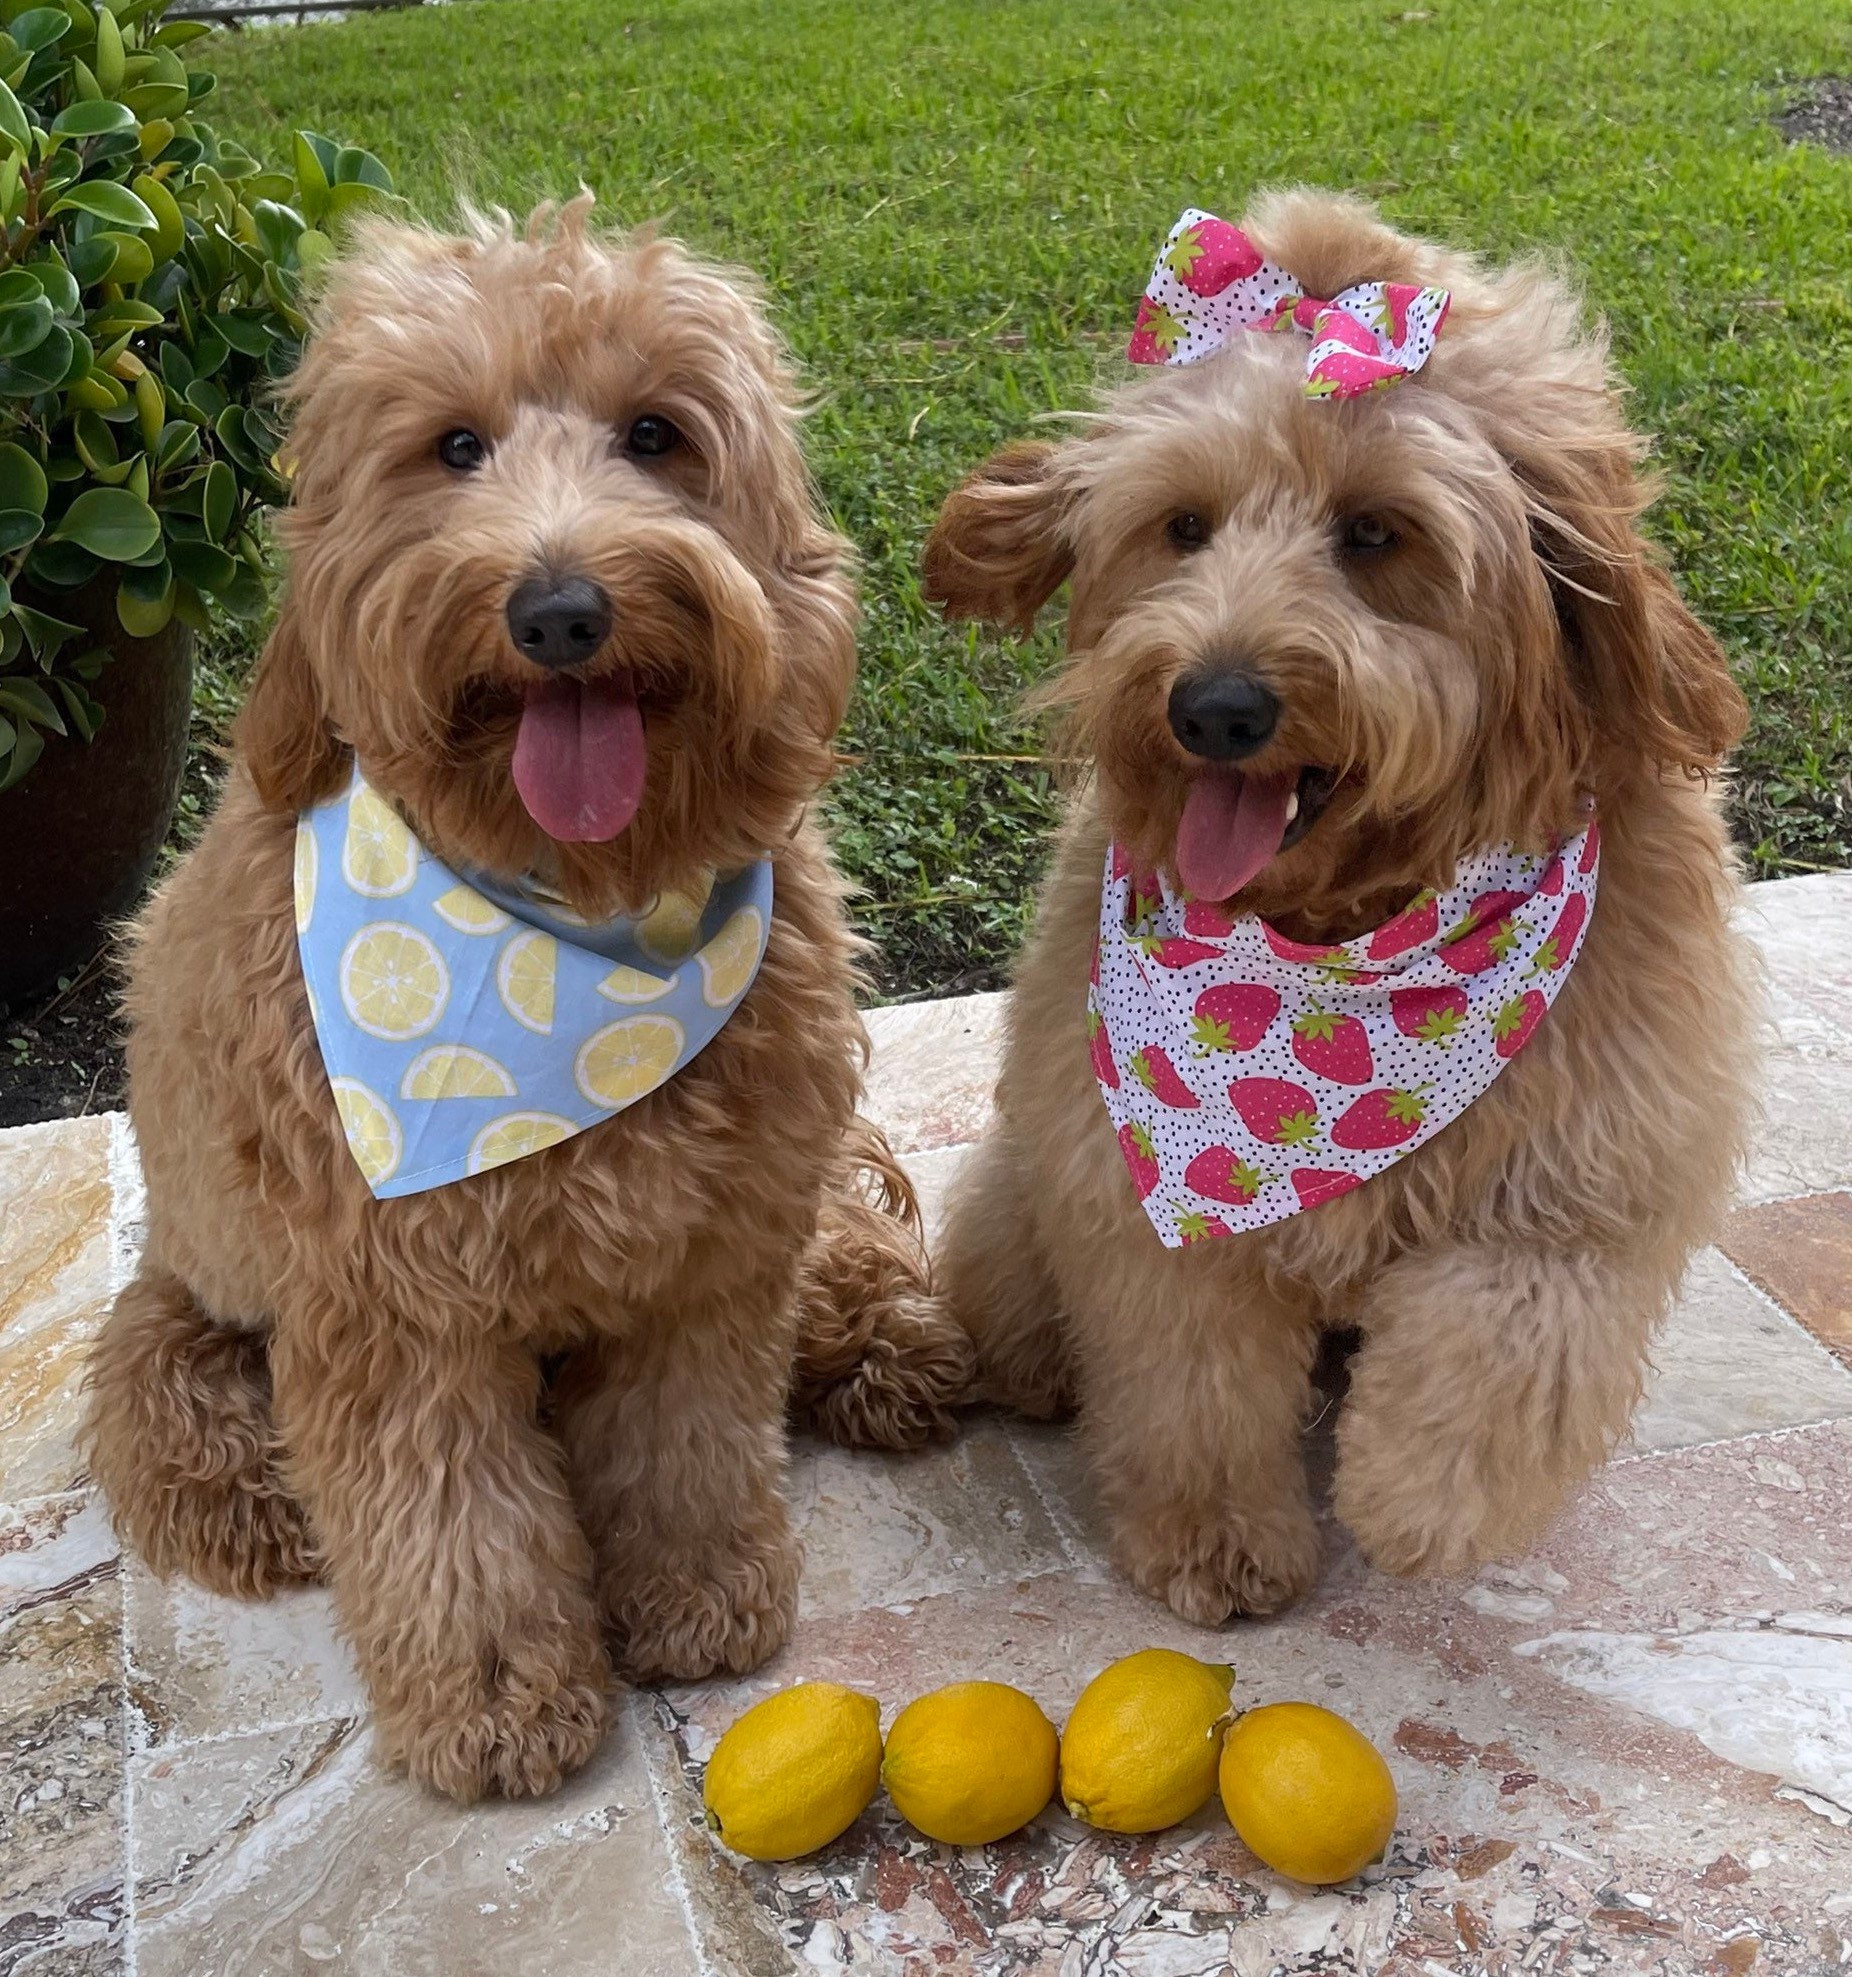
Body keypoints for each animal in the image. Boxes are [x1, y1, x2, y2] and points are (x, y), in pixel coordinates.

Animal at [83, 204, 984, 1810]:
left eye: (657, 434)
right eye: (451, 447)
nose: (560, 611)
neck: (571, 918)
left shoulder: (709, 1255)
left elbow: (690, 1438)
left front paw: (697, 1595)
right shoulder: (386, 1303)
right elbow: (453, 1520)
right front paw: (499, 1697)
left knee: (841, 1255)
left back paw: (887, 1348)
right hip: (192, 1300)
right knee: (171, 1404)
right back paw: (256, 1494)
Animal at [932, 192, 1755, 1629]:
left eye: (1376, 534)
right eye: (1183, 526)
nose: (1212, 707)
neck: (1339, 942)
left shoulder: (1597, 1166)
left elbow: (1512, 1331)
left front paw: (1414, 1503)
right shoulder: (1145, 1200)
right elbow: (1191, 1379)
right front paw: (1214, 1538)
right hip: (1021, 1186)